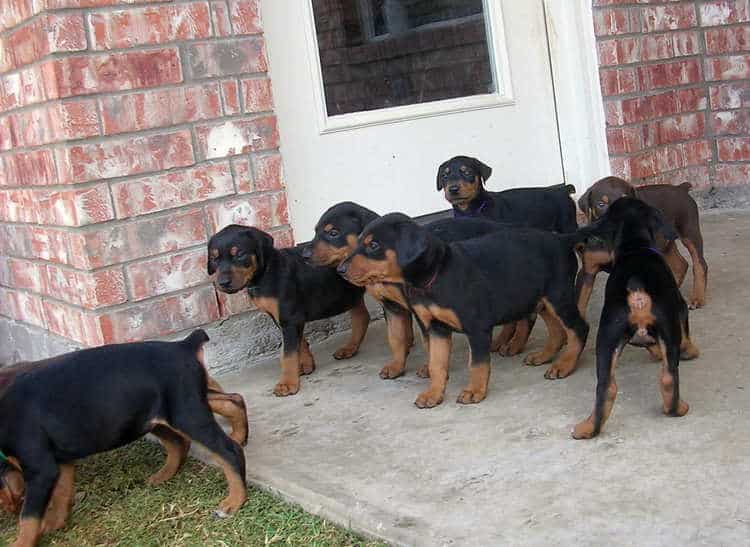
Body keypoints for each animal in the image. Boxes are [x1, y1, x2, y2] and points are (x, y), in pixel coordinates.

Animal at [0, 330, 248, 547]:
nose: (8, 511)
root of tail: (183, 345)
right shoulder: (60, 461)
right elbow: (62, 493)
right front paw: (55, 523)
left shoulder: (41, 469)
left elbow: (29, 517)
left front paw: (22, 542)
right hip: (155, 415)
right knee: (221, 408)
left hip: (185, 412)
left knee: (228, 451)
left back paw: (234, 500)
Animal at [209, 225, 370, 396]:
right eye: (214, 259)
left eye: (240, 254)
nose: (223, 283)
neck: (266, 273)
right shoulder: (283, 318)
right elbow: (299, 343)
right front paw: (306, 365)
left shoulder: (289, 318)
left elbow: (288, 354)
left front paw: (287, 384)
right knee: (362, 316)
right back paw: (350, 348)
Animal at [338, 214, 592, 406]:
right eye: (358, 243)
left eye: (373, 245)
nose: (340, 270)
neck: (434, 276)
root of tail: (562, 239)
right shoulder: (436, 327)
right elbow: (436, 362)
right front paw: (433, 394)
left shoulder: (476, 326)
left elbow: (477, 364)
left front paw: (475, 391)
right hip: (539, 297)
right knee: (556, 329)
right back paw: (544, 356)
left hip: (558, 296)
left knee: (579, 328)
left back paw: (565, 365)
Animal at [576, 198, 700, 440]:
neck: (636, 247)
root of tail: (636, 285)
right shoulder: (680, 308)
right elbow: (686, 331)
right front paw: (690, 350)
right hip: (669, 326)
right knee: (670, 376)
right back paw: (677, 408)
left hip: (607, 335)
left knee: (605, 386)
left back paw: (587, 428)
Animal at [580, 178, 708, 310]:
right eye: (601, 204)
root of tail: (680, 188)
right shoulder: (588, 270)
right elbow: (579, 303)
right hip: (664, 242)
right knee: (681, 264)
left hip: (689, 232)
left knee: (699, 264)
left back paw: (697, 298)